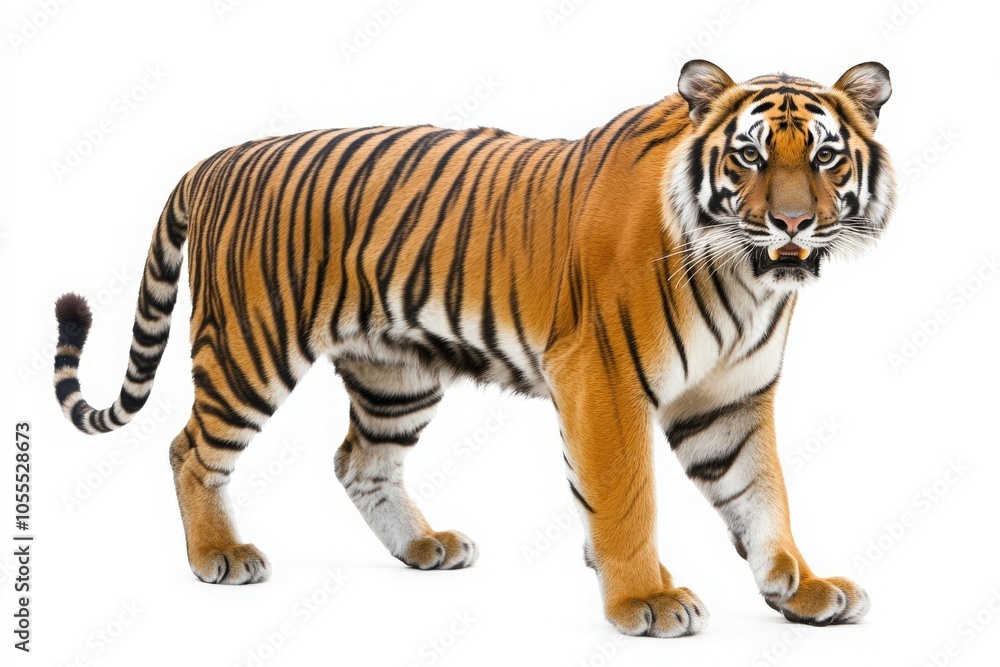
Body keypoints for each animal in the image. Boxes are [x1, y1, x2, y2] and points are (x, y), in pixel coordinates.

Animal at [52, 59, 895, 637]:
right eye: (750, 156)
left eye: (825, 157)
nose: (792, 224)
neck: (748, 278)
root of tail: (216, 159)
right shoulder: (604, 377)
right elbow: (627, 498)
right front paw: (645, 598)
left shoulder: (729, 398)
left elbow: (761, 494)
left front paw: (800, 588)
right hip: (250, 347)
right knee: (190, 448)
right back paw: (218, 556)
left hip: (396, 372)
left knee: (359, 460)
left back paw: (423, 545)